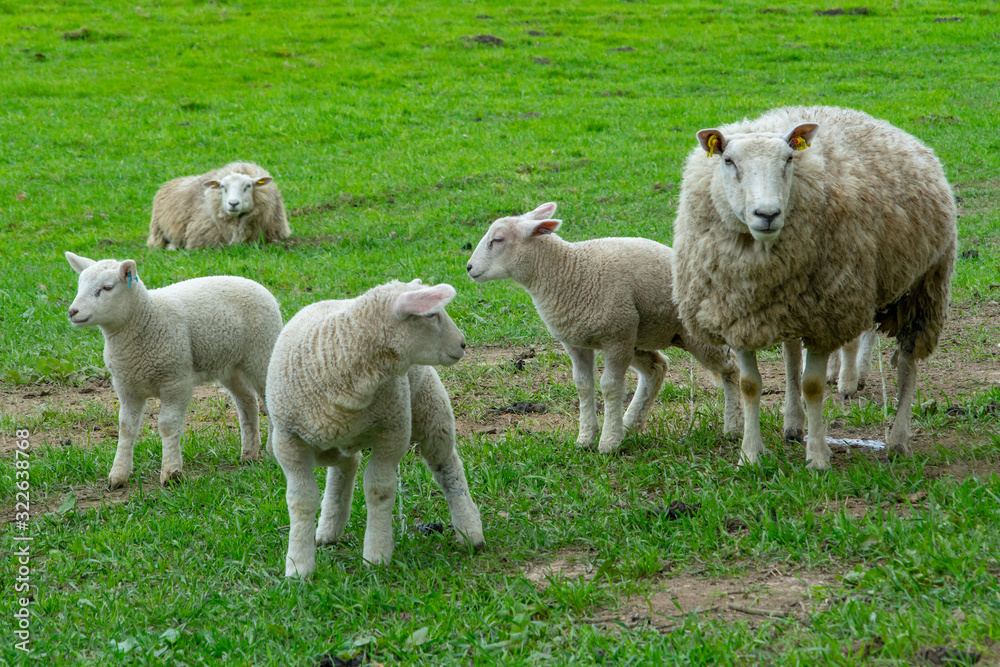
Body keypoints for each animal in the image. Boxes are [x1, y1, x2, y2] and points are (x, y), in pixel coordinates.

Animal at [65, 253, 286, 488]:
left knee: (269, 401)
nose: (72, 312)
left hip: (262, 354)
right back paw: (249, 454)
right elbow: (126, 427)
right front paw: (118, 475)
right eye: (80, 285)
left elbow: (167, 426)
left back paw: (271, 452)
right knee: (248, 403)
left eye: (106, 288)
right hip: (230, 366)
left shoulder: (176, 381)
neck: (145, 319)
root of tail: (256, 285)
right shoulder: (126, 386)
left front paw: (171, 473)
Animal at [266, 280, 484, 576]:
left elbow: (379, 490)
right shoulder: (287, 441)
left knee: (447, 466)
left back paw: (470, 530)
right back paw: (329, 527)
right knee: (346, 465)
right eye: (430, 314)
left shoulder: (393, 432)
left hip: (429, 408)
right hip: (328, 442)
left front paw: (377, 555)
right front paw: (299, 565)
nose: (462, 344)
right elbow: (301, 500)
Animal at [464, 204, 740, 454]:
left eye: (498, 239)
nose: (468, 268)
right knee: (657, 367)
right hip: (638, 335)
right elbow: (583, 385)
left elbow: (609, 386)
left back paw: (733, 426)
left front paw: (609, 442)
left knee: (731, 367)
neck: (566, 272)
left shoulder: (615, 337)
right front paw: (586, 438)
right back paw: (629, 423)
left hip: (684, 336)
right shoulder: (576, 342)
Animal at [668, 105, 956, 470]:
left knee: (906, 362)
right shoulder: (737, 315)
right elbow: (750, 385)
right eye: (728, 161)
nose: (767, 214)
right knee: (792, 355)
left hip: (923, 287)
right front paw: (750, 454)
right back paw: (793, 424)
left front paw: (817, 457)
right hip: (795, 305)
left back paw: (897, 441)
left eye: (789, 159)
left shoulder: (825, 317)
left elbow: (814, 385)